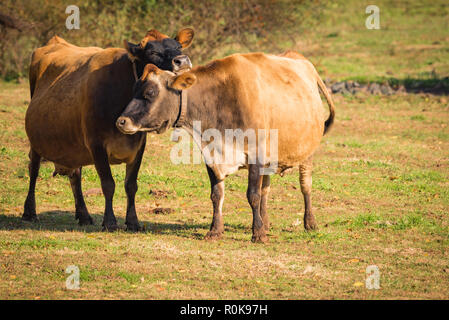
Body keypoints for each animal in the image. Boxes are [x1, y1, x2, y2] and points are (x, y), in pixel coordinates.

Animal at [23, 28, 194, 231]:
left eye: (178, 46)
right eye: (153, 52)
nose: (182, 60)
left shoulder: (139, 144)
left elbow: (131, 185)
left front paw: (133, 221)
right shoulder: (96, 144)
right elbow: (108, 184)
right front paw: (110, 221)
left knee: (75, 175)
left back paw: (83, 215)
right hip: (36, 140)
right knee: (34, 168)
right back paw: (29, 212)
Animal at [117, 51, 334, 241]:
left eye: (150, 92)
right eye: (134, 90)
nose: (121, 121)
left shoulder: (255, 155)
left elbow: (253, 195)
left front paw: (258, 234)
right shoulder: (211, 157)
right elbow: (217, 195)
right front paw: (215, 231)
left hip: (307, 153)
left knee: (305, 186)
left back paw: (309, 222)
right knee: (266, 189)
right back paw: (266, 222)